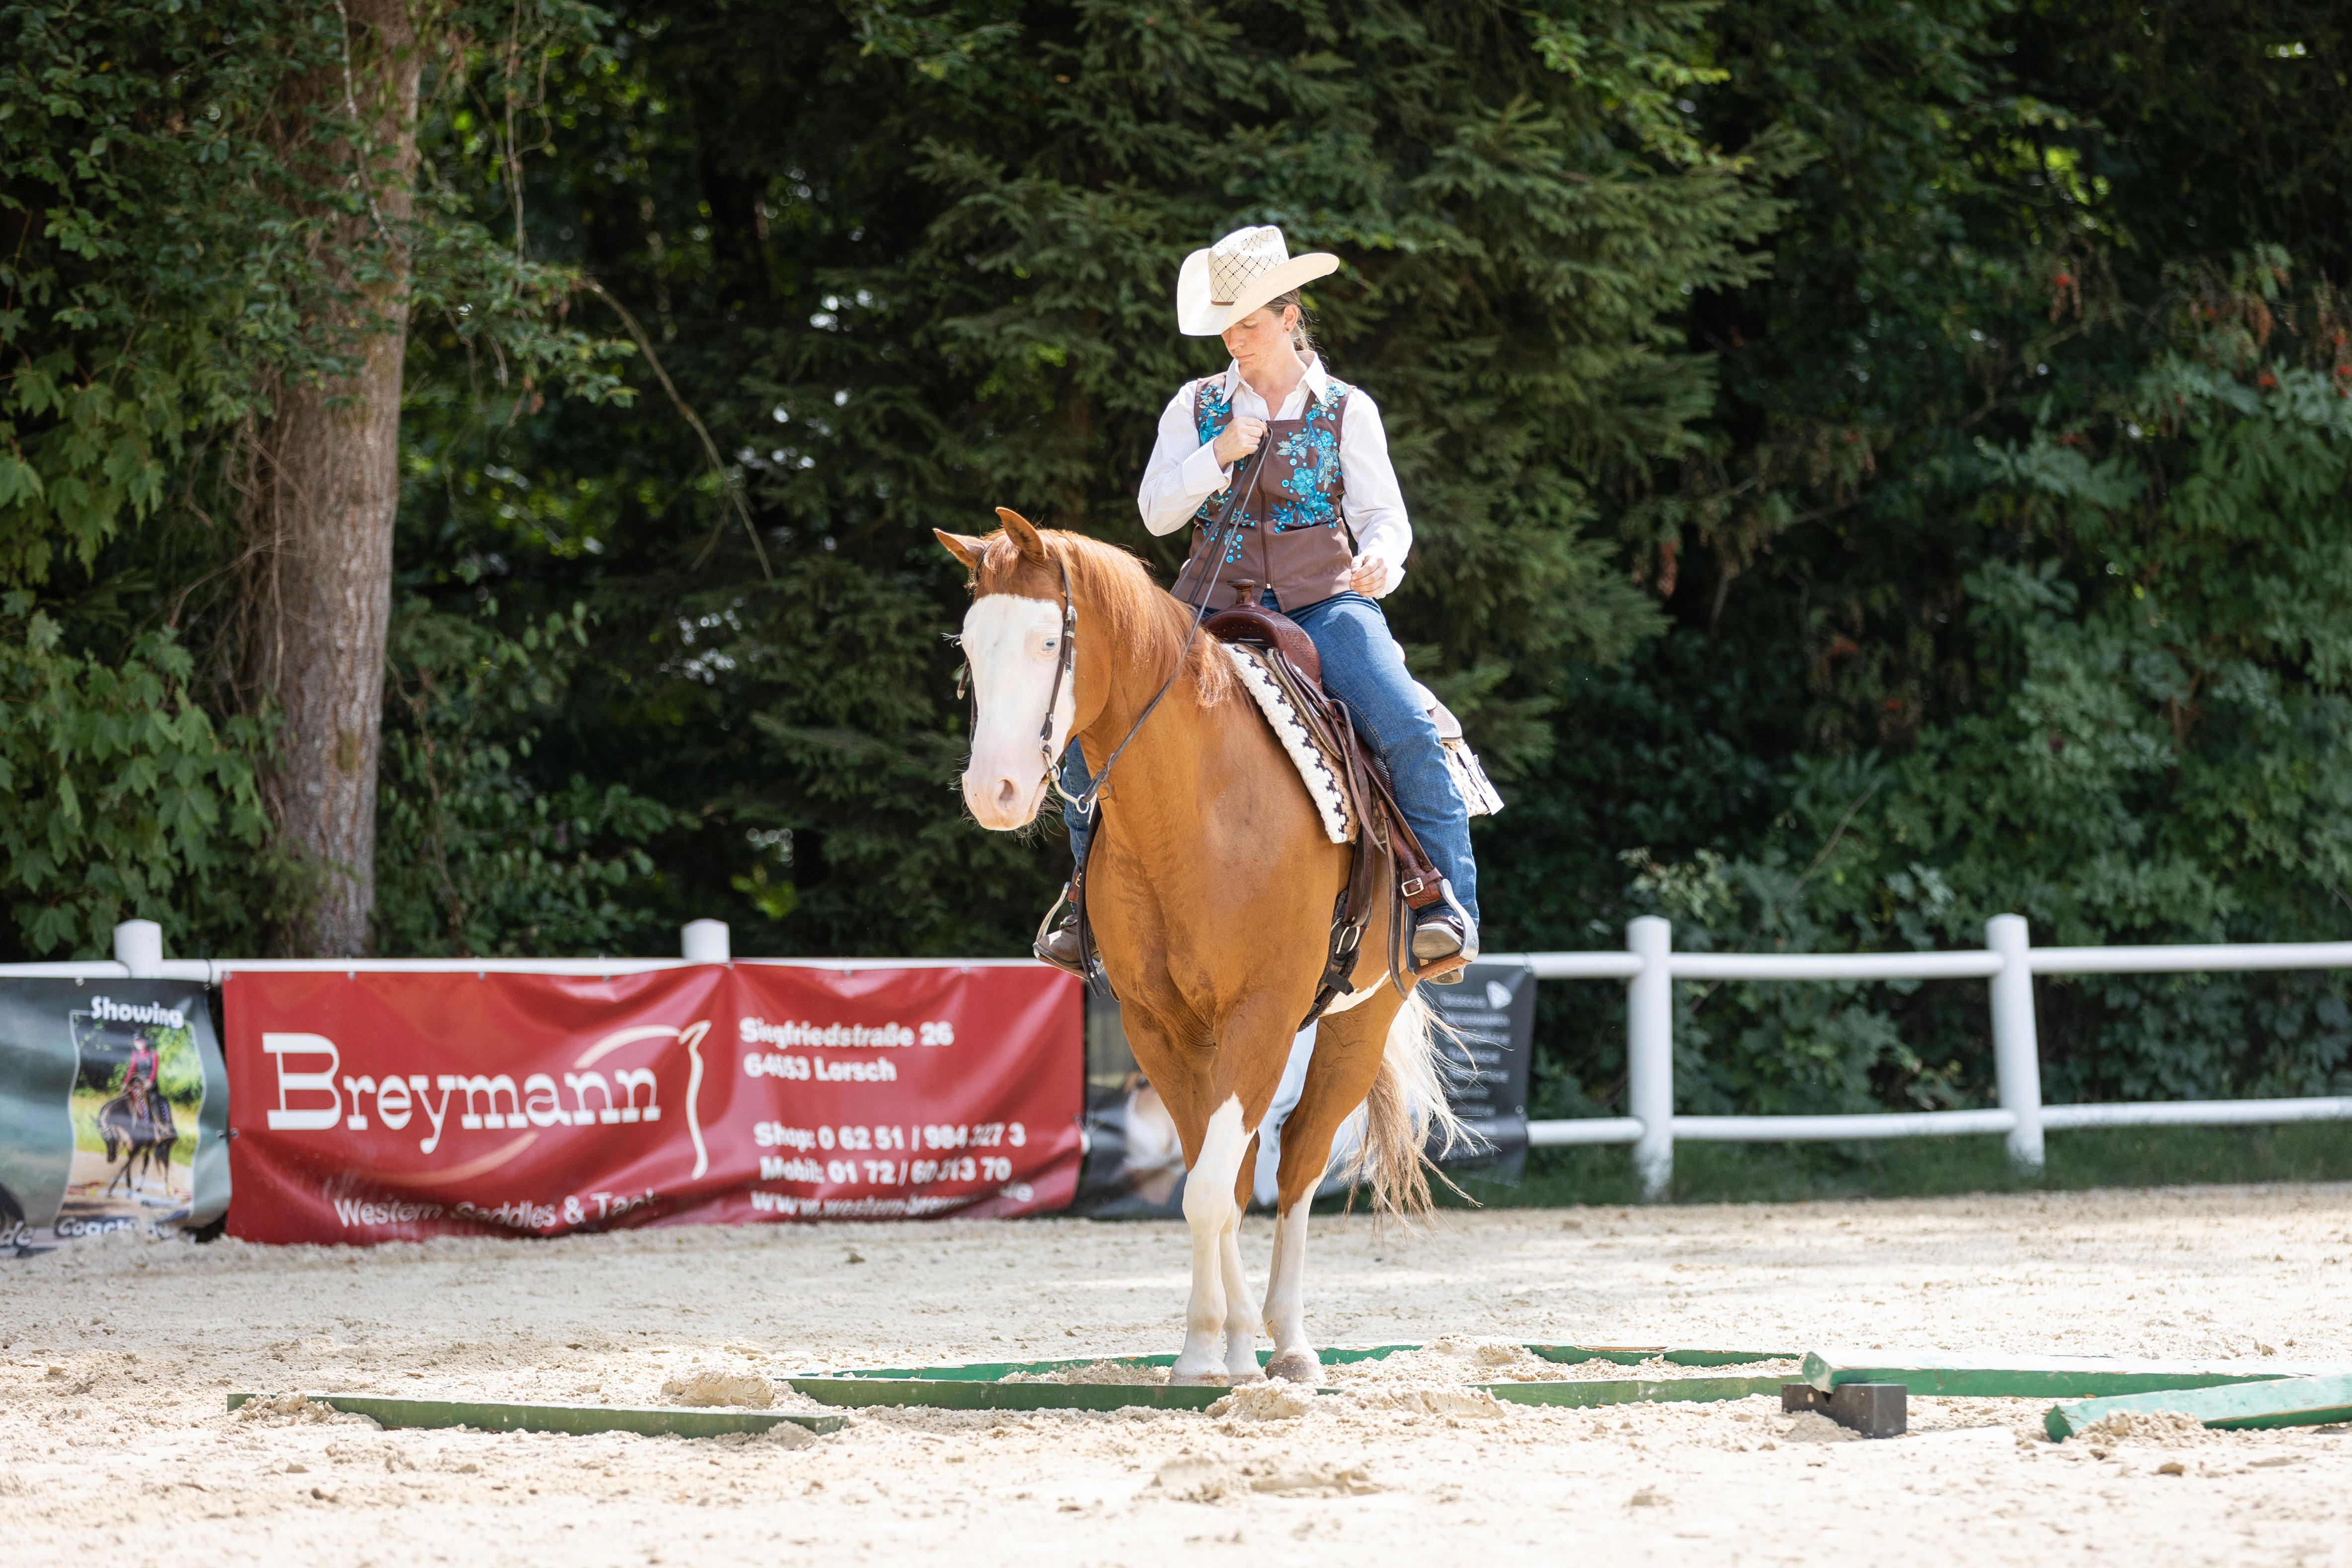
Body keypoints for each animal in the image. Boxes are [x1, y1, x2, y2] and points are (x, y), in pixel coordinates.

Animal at [938, 509, 1461, 1386]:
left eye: (1048, 640)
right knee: (1250, 1172)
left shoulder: (1263, 1014)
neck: (1196, 808)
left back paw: (1291, 1343)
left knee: (1298, 1165)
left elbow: (1218, 1188)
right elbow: (1203, 1186)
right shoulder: (1159, 1025)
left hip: (1358, 1021)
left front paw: (1238, 1349)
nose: (993, 791)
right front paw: (1202, 1348)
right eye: (971, 646)